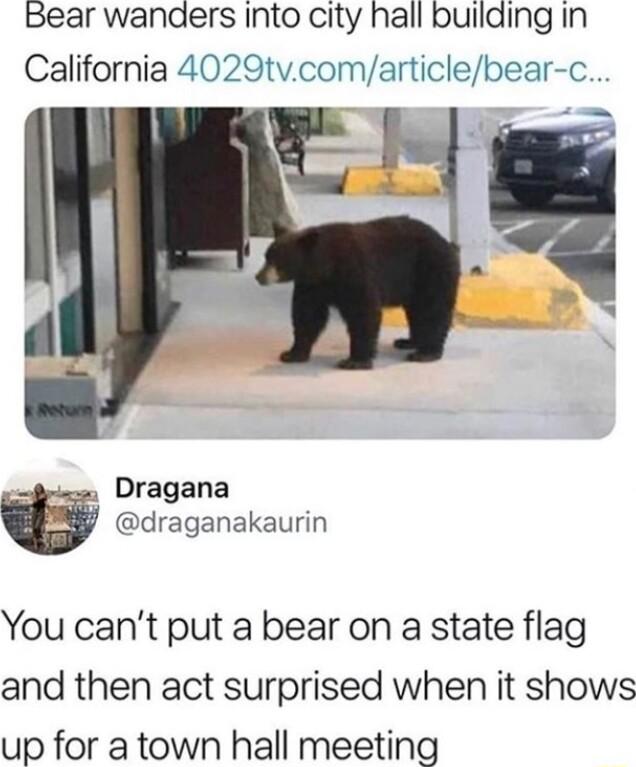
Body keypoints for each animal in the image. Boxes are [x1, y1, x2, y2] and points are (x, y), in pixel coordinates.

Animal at [255, 216, 461, 370]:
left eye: (277, 260)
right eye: (266, 256)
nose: (259, 276)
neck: (327, 265)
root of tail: (448, 244)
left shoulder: (354, 271)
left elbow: (363, 311)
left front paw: (354, 361)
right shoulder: (313, 285)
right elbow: (307, 315)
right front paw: (292, 353)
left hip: (431, 269)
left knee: (432, 309)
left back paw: (425, 352)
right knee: (416, 312)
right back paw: (408, 341)